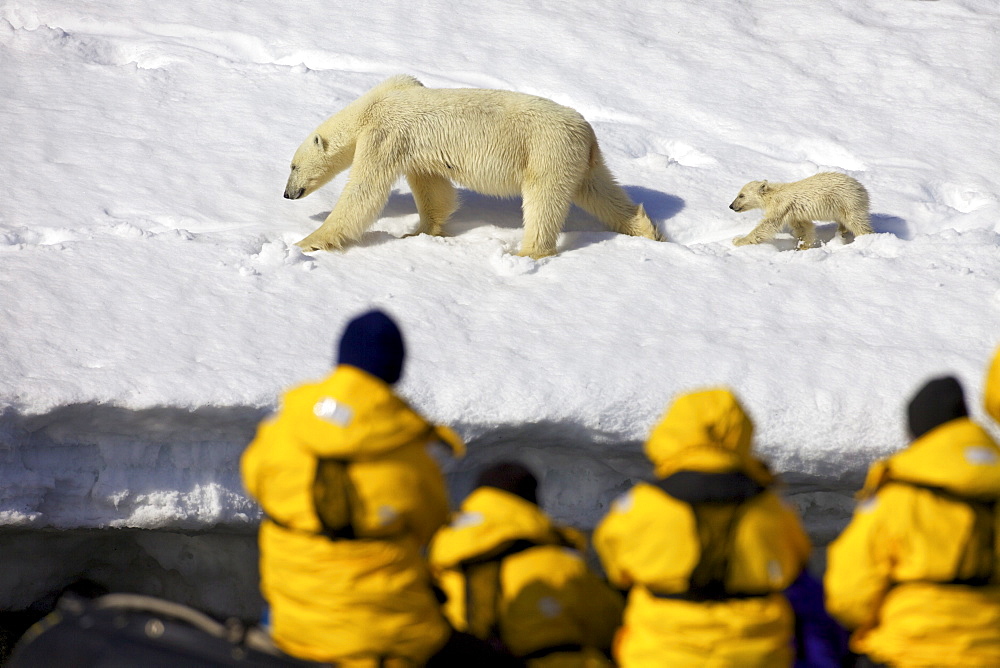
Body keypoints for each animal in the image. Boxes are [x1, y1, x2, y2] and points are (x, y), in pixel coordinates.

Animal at [284, 75, 664, 258]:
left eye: (292, 166)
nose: (287, 194)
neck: (369, 108)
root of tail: (587, 133)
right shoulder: (404, 99)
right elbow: (432, 188)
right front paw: (419, 231)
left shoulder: (384, 136)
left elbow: (362, 195)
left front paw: (306, 242)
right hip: (581, 160)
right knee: (601, 192)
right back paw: (648, 230)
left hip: (546, 151)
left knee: (543, 201)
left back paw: (527, 252)